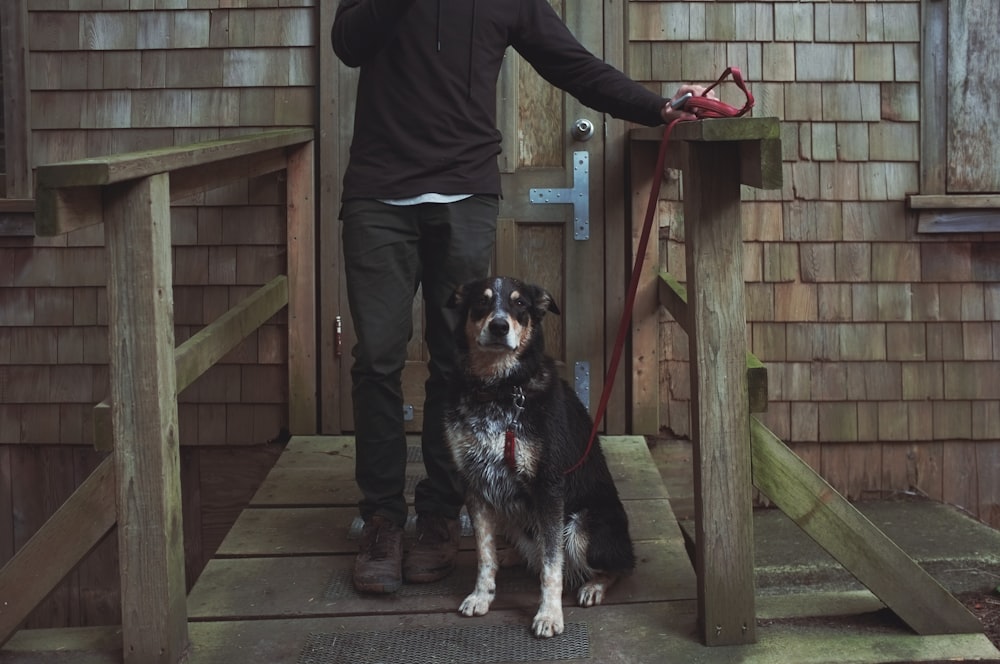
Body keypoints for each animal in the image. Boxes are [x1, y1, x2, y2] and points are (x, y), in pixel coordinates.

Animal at [444, 274, 632, 640]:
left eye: (520, 304)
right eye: (481, 301)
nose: (499, 326)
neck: (499, 390)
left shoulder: (549, 488)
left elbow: (551, 566)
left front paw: (549, 614)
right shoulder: (474, 484)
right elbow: (484, 554)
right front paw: (481, 595)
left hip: (582, 526)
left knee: (619, 567)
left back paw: (594, 586)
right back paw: (513, 556)